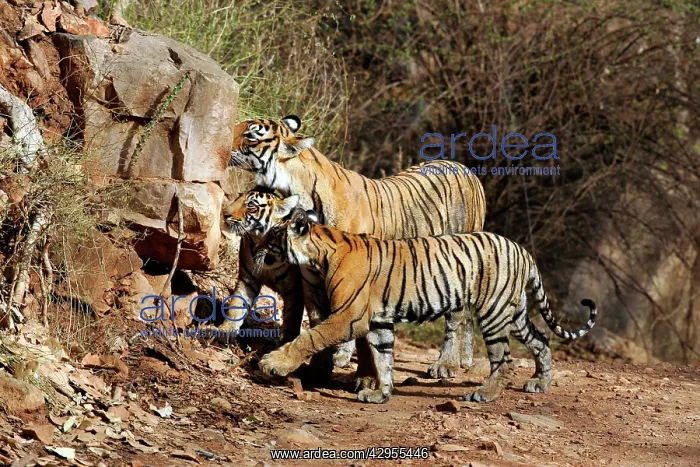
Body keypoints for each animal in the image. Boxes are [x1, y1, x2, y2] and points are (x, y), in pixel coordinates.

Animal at [229, 114, 486, 379]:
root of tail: (466, 169)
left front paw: (344, 358)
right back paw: (465, 359)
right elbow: (317, 321)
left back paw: (447, 364)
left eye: (250, 135)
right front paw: (319, 366)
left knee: (456, 316)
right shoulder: (311, 278)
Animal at [256, 202, 598, 404]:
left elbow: (309, 338)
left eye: (272, 237)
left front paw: (273, 363)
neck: (321, 253)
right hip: (514, 314)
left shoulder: (347, 317)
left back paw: (485, 393)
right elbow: (384, 358)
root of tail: (524, 251)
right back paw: (540, 382)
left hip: (494, 313)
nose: (255, 245)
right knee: (541, 339)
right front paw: (381, 393)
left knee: (504, 359)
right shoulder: (379, 322)